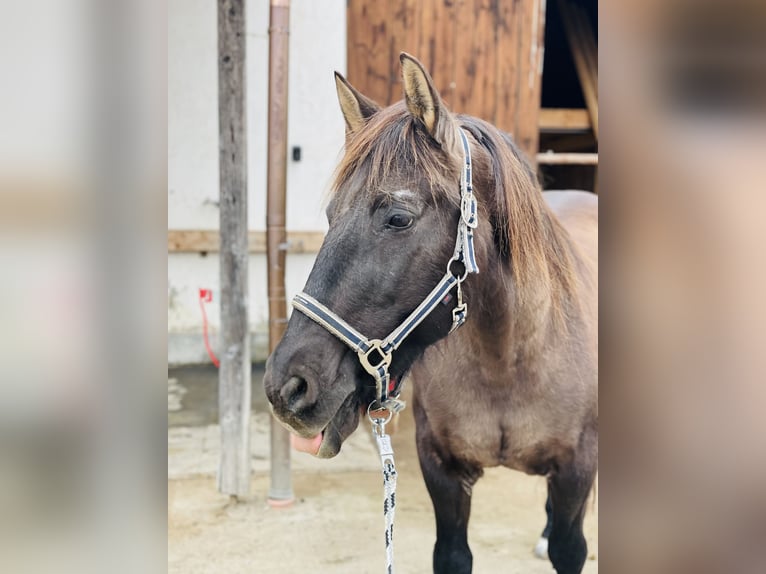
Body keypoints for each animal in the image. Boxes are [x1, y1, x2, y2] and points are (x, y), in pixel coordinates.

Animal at [264, 54, 600, 574]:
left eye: (398, 218)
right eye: (330, 216)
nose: (287, 388)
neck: (509, 361)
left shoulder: (576, 473)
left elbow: (570, 543)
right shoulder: (442, 473)